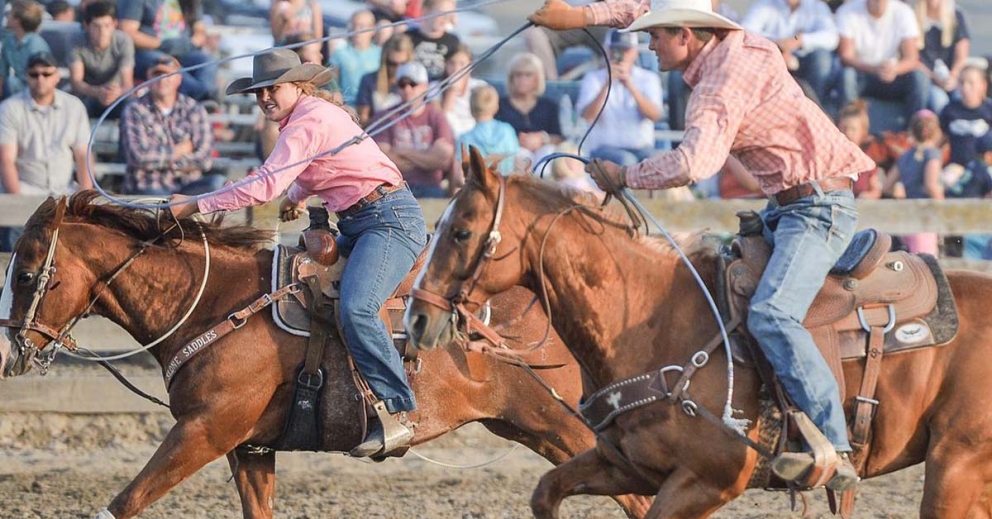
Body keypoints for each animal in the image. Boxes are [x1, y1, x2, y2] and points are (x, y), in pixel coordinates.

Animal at [0, 193, 652, 519]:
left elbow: (125, 501)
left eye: (27, 272)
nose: (14, 354)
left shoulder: (205, 430)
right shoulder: (250, 447)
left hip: (562, 421)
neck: (214, 303)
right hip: (530, 426)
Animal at [404, 148, 992, 516]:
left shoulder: (711, 479)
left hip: (956, 466)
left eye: (461, 232)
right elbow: (546, 493)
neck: (649, 319)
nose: (415, 318)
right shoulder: (628, 466)